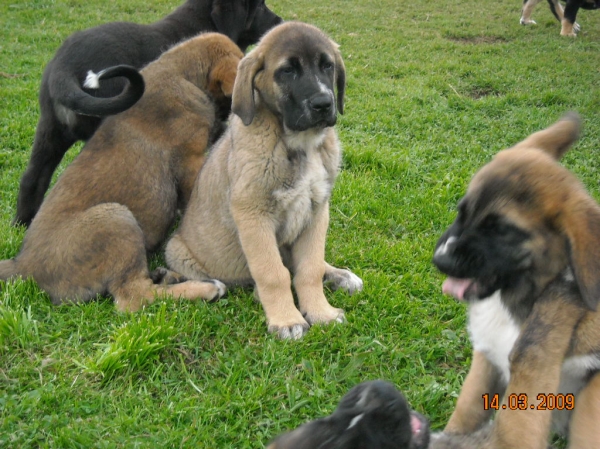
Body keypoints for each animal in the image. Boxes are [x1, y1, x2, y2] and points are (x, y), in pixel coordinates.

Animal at [0, 32, 244, 312]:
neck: (181, 72)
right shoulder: (191, 161)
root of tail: (23, 266)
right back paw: (206, 288)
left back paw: (167, 275)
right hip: (115, 217)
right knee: (134, 297)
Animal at [14, 0, 282, 226]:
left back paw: (22, 224)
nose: (279, 21)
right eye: (259, 7)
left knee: (31, 179)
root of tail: (63, 68)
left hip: (49, 133)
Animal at [163, 20, 366, 336]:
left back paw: (341, 276)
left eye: (327, 66)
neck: (299, 144)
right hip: (177, 251)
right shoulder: (253, 215)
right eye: (287, 70)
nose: (323, 103)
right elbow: (273, 272)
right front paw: (287, 319)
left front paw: (321, 312)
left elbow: (310, 268)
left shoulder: (317, 210)